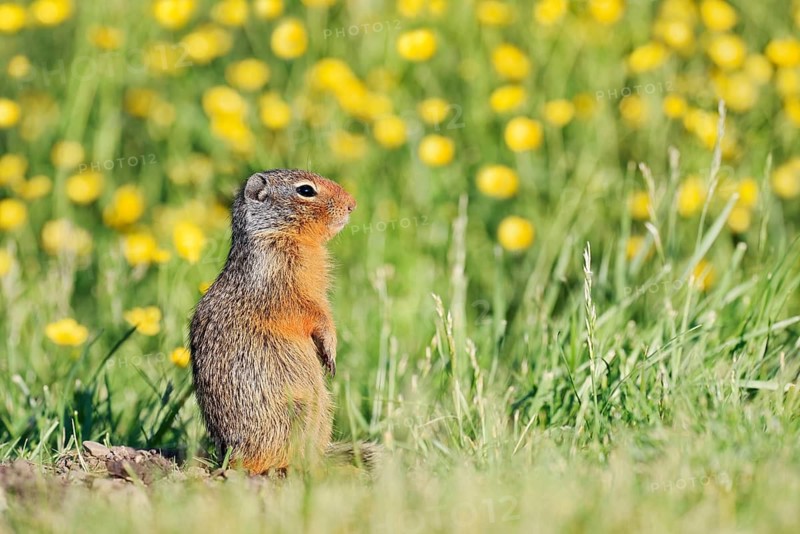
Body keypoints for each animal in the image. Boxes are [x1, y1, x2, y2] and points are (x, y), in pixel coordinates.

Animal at [189, 169, 378, 475]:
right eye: (306, 190)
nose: (353, 205)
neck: (282, 234)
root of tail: (230, 456)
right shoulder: (288, 291)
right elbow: (315, 315)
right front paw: (331, 351)